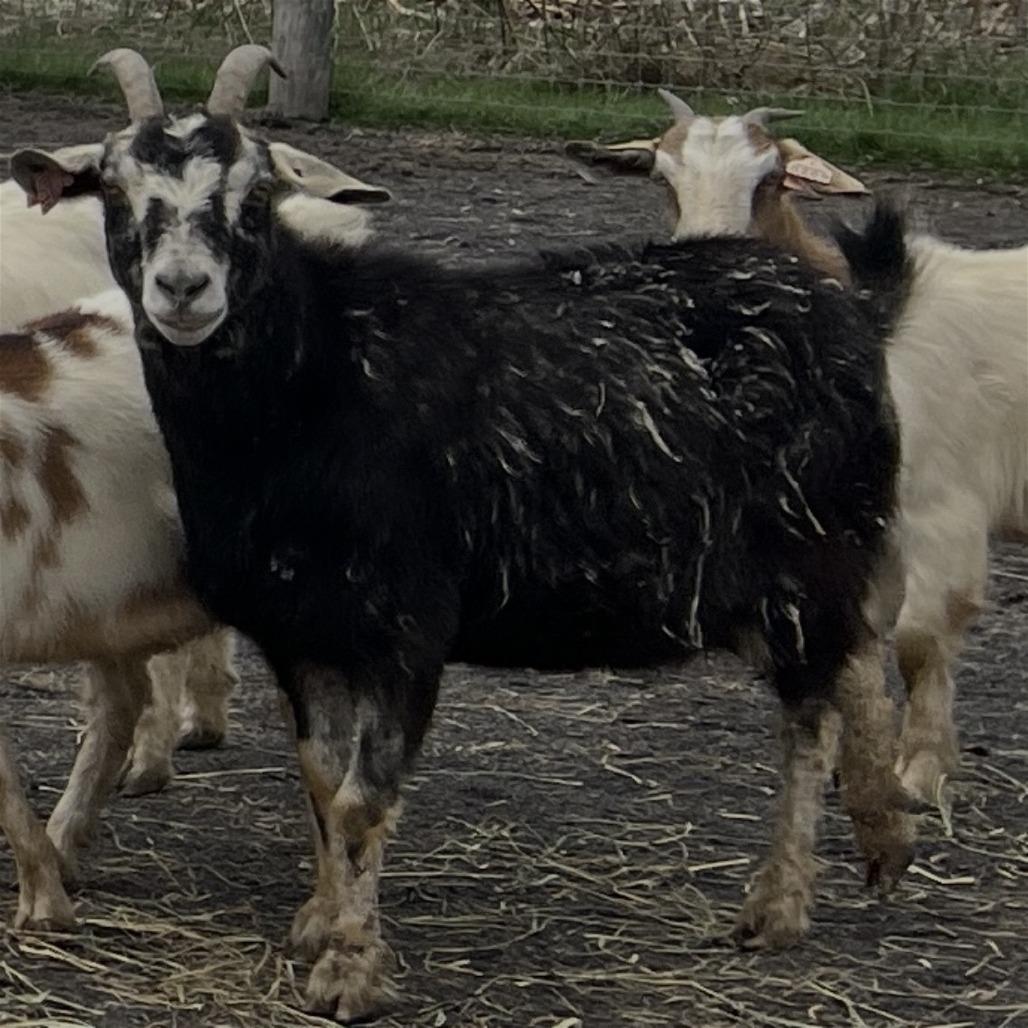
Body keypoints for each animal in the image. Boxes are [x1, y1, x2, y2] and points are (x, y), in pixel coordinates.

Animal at [13, 46, 916, 1020]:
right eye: (112, 189)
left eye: (256, 195)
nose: (183, 290)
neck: (322, 380)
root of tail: (841, 308)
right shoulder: (300, 633)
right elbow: (322, 783)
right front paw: (320, 922)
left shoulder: (407, 631)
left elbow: (363, 802)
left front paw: (349, 972)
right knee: (856, 667)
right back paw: (882, 838)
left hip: (810, 563)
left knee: (810, 720)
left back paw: (777, 906)